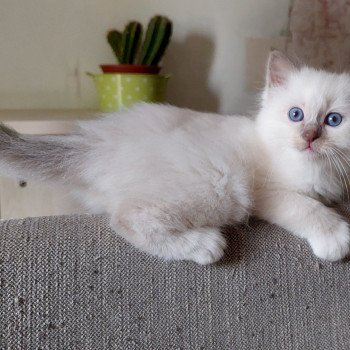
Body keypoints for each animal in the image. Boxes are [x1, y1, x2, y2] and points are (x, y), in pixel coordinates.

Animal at [0, 50, 348, 264]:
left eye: (333, 120)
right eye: (295, 114)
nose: (309, 137)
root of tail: (96, 142)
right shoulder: (268, 191)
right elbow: (306, 207)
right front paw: (336, 237)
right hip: (219, 185)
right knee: (126, 218)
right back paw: (204, 245)